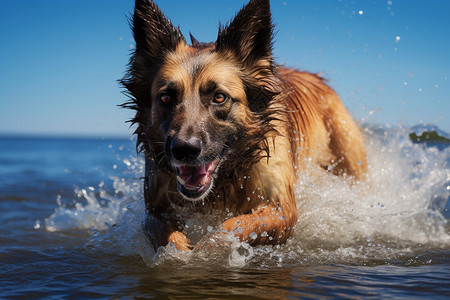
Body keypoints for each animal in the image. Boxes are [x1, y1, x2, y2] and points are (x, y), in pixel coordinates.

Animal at [121, 0, 368, 252]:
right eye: (166, 98)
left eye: (219, 97)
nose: (184, 149)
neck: (226, 178)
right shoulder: (155, 205)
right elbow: (164, 232)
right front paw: (181, 252)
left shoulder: (280, 207)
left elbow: (232, 226)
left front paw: (207, 250)